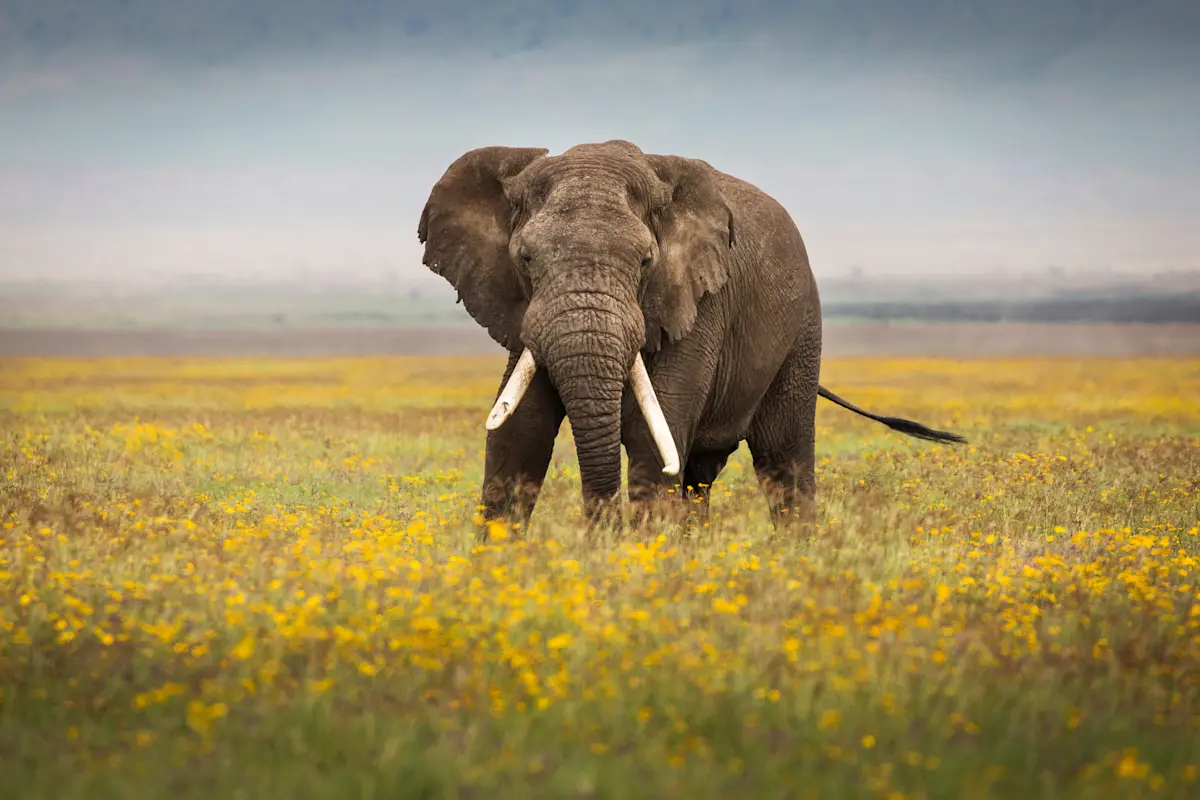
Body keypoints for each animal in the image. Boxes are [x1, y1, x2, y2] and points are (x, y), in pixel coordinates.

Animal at [417, 139, 966, 534]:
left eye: (645, 261)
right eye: (525, 259)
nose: (602, 532)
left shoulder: (699, 305)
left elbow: (651, 443)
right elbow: (518, 435)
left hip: (802, 331)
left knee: (783, 463)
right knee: (699, 476)